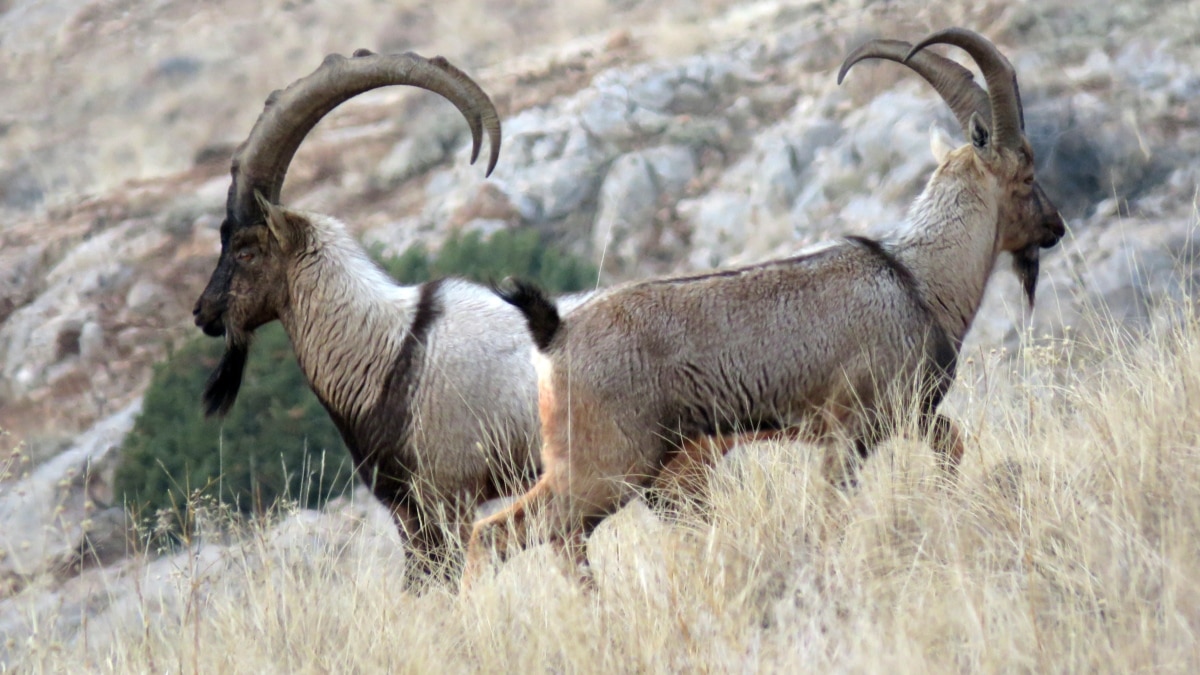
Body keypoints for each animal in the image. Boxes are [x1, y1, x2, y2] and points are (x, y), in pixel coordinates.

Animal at [465, 28, 1070, 581]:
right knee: (525, 531)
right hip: (606, 464)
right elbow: (840, 503)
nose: (1056, 227)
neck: (917, 279)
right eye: (1027, 173)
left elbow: (950, 445)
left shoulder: (908, 415)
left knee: (512, 533)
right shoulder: (854, 425)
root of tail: (553, 332)